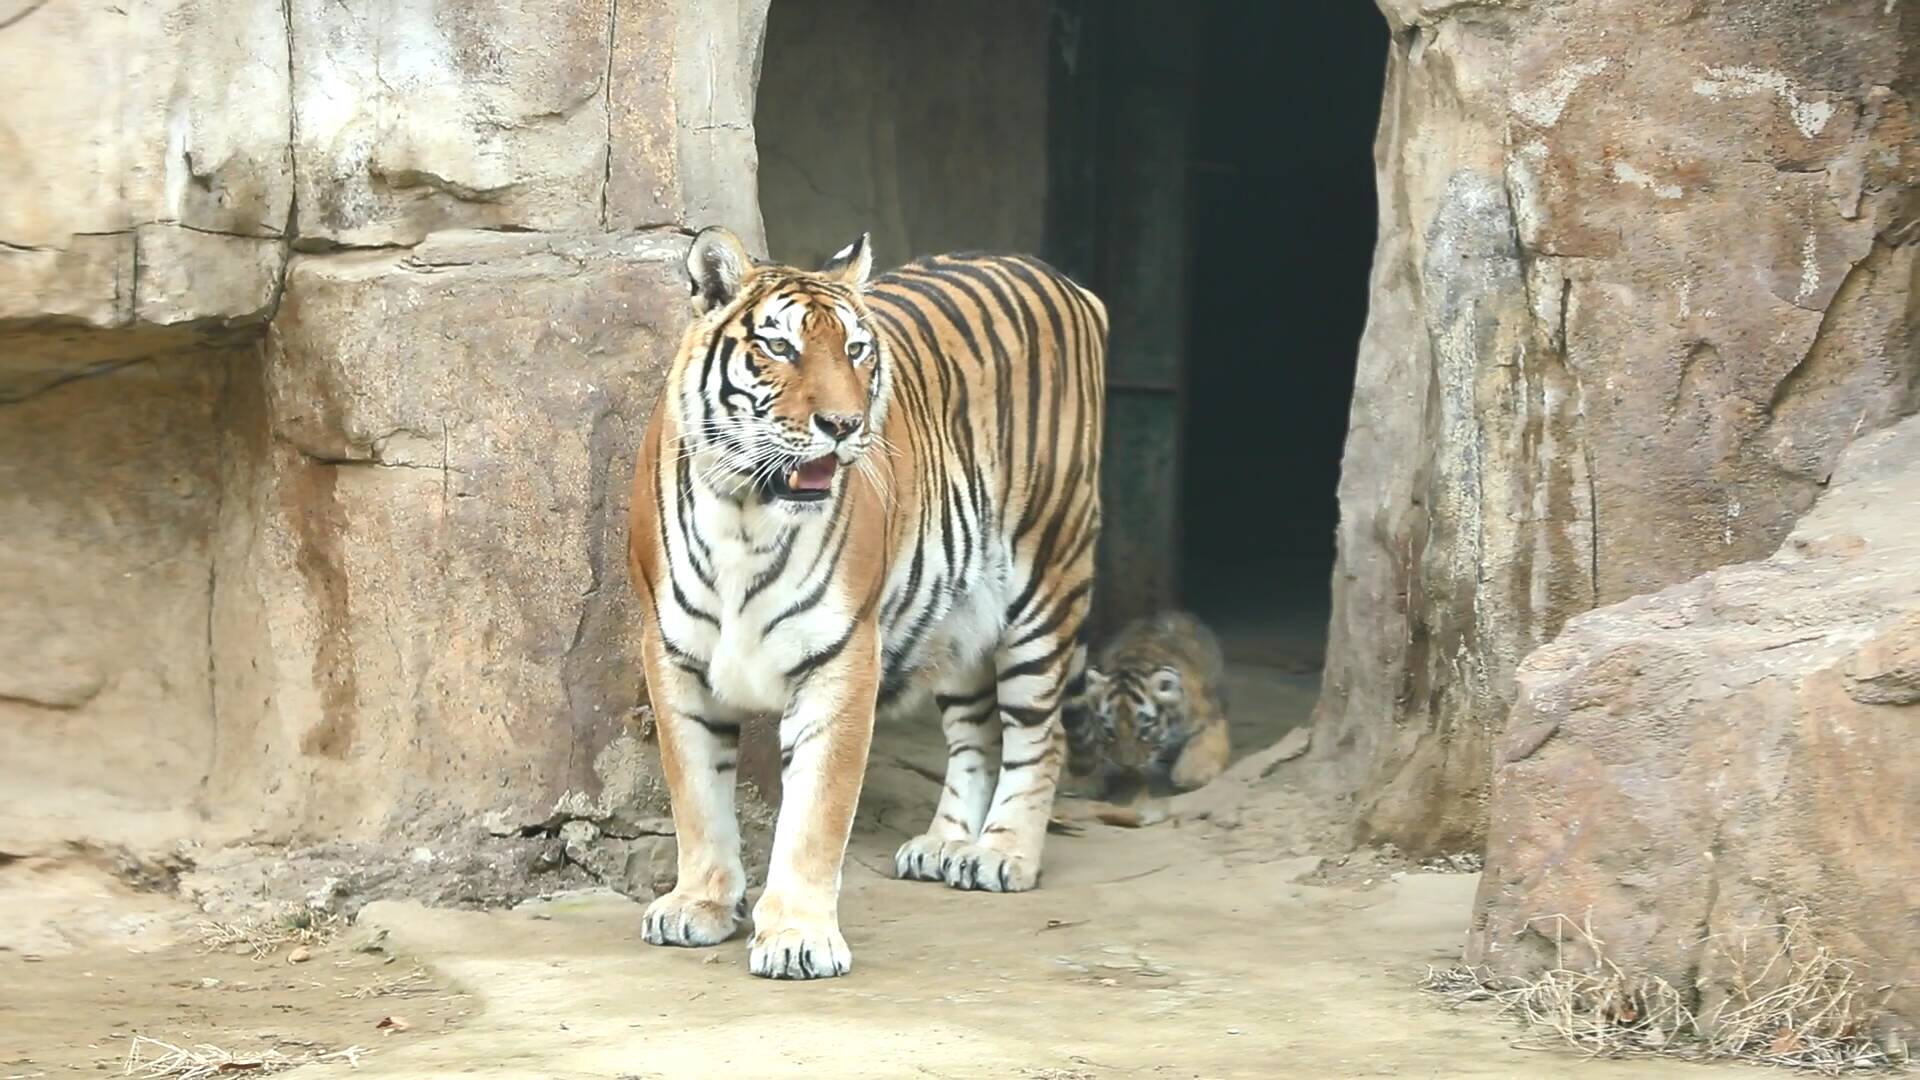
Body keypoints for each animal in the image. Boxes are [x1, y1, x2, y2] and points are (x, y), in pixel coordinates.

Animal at [629, 226, 1113, 976]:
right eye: (781, 348)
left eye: (856, 350)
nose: (844, 423)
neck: (746, 512)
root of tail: (1058, 277)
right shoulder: (673, 653)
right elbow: (697, 794)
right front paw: (699, 905)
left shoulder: (840, 656)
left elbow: (815, 815)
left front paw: (797, 935)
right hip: (957, 614)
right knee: (975, 730)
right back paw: (947, 844)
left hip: (1046, 575)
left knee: (1040, 731)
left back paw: (1001, 853)